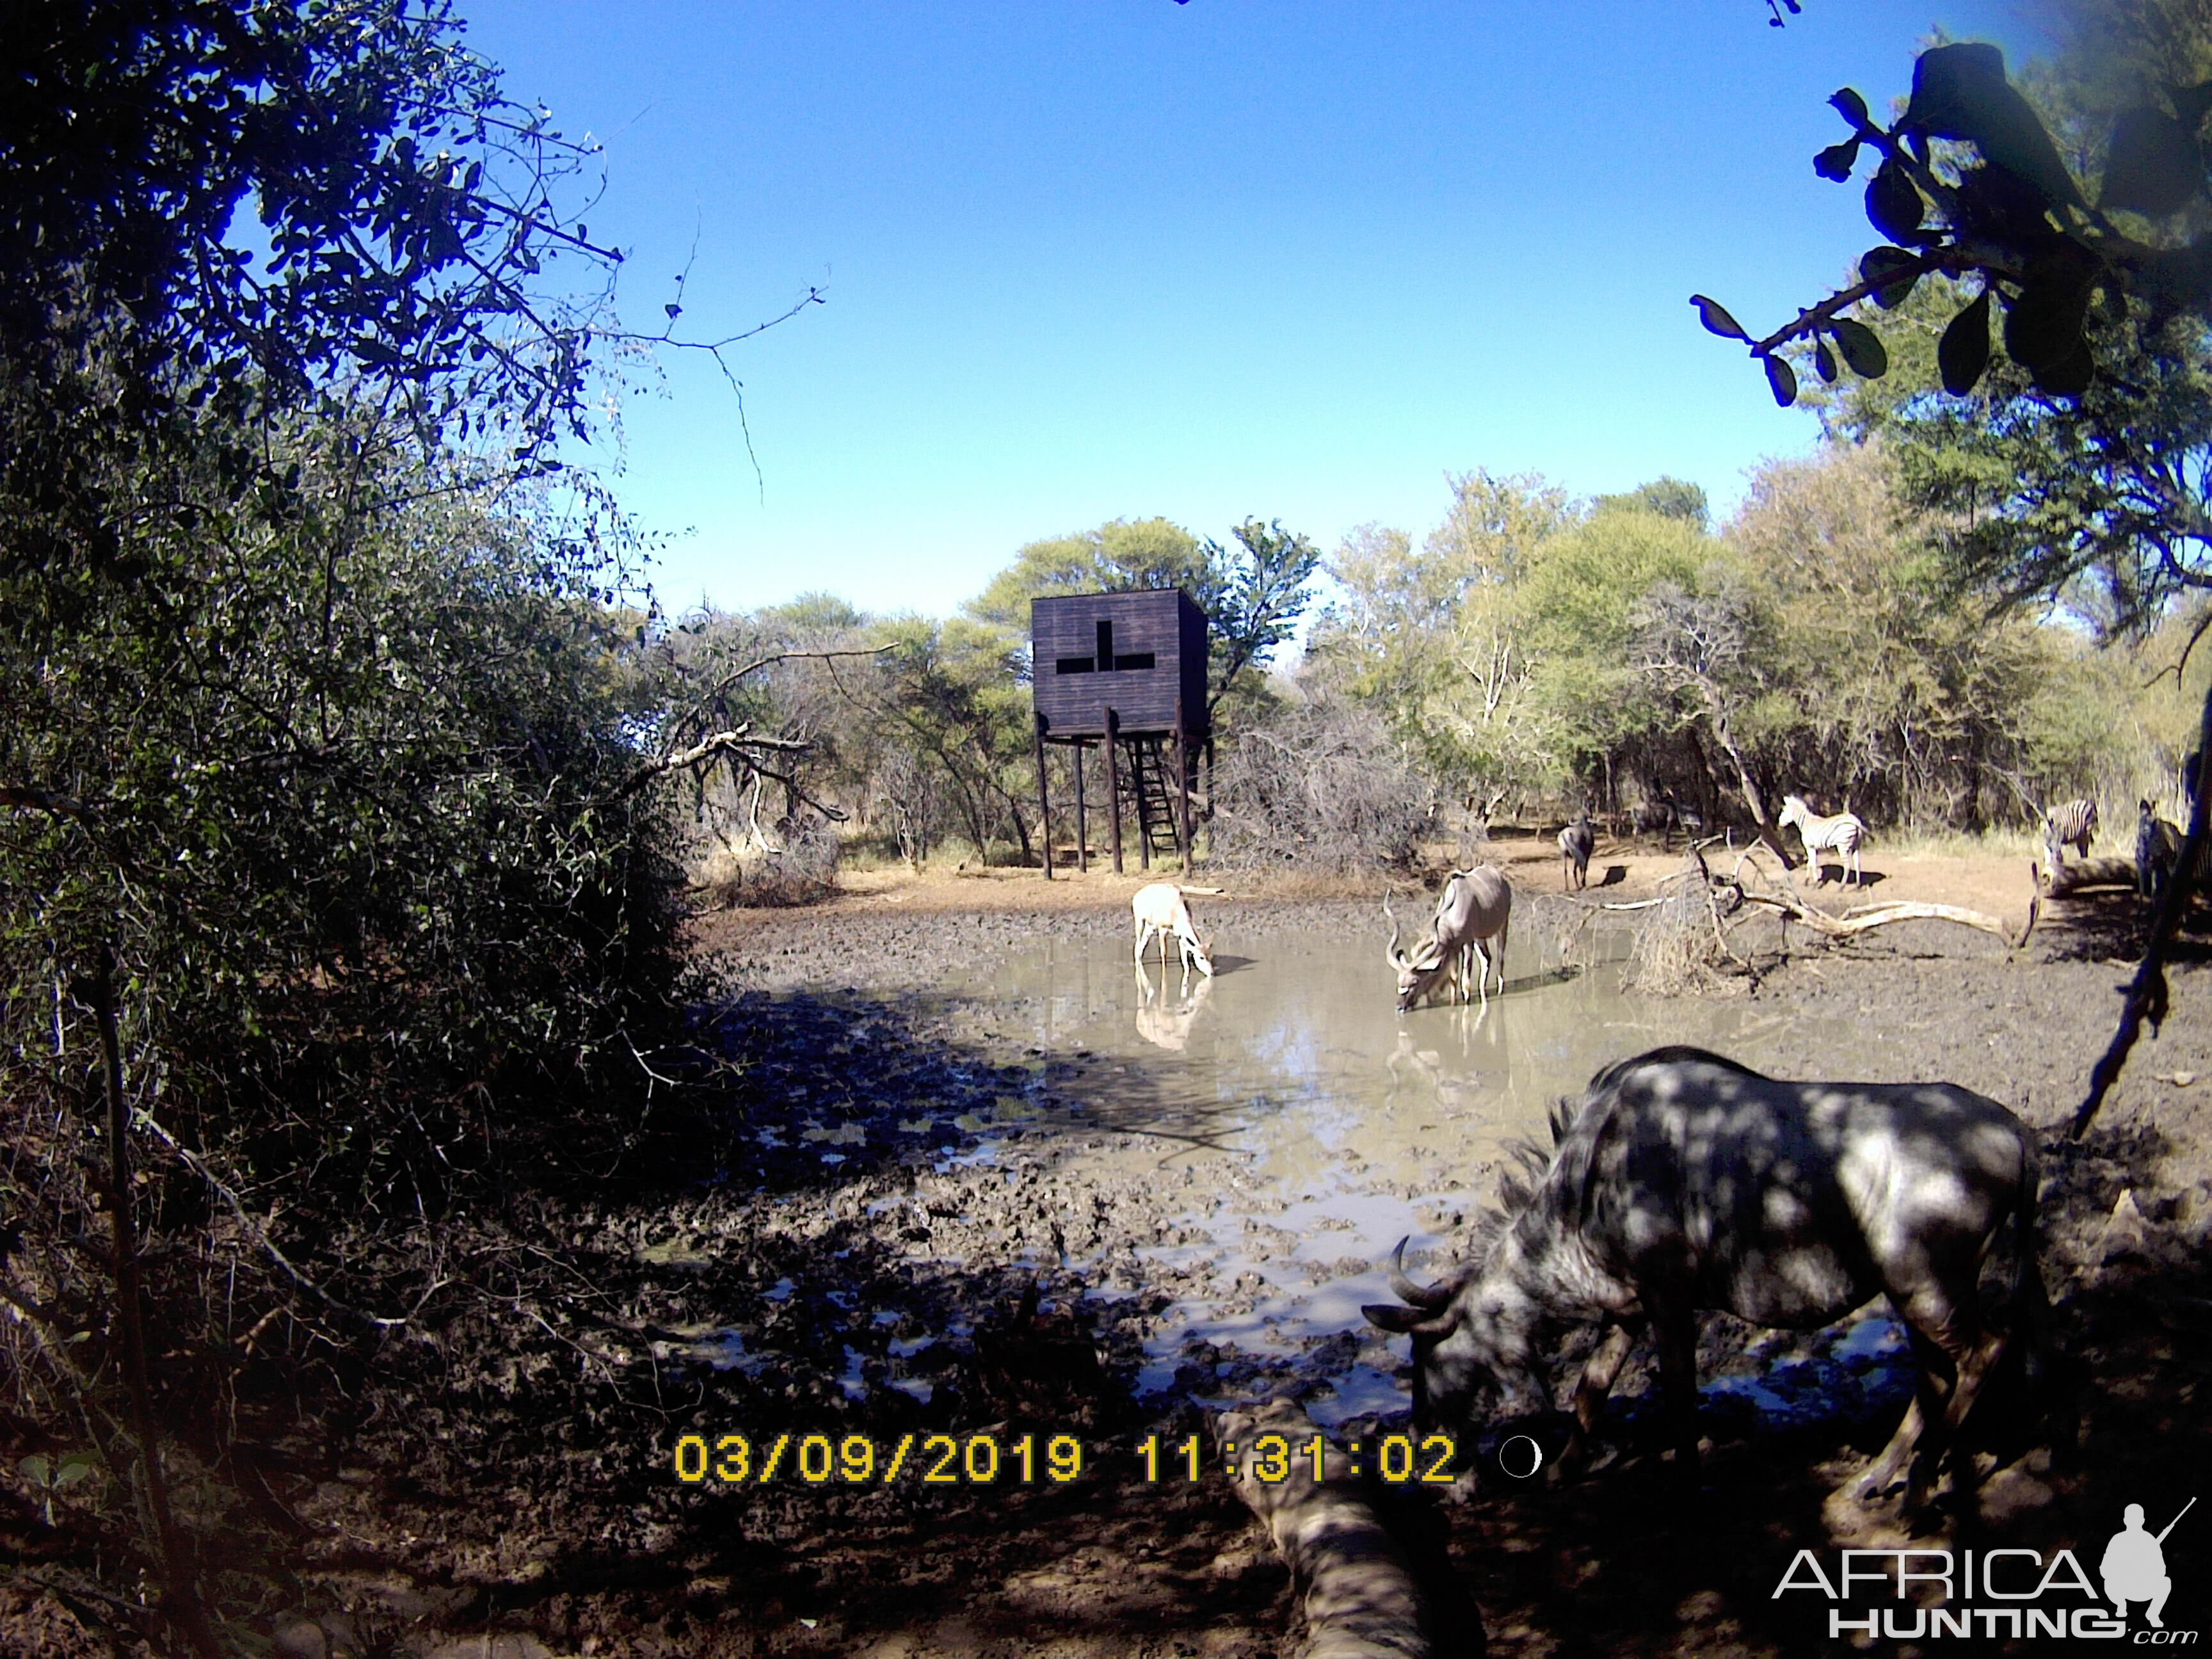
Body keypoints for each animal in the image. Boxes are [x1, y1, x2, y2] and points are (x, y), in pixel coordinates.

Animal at [1132, 889, 1221, 982]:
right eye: (1201, 957)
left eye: (1211, 957)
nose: (1212, 973)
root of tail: (1136, 895)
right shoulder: (1162, 929)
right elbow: (1163, 953)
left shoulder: (1181, 937)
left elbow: (1185, 960)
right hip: (1139, 921)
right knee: (1138, 944)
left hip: (1150, 926)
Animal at [1769, 801, 1858, 889]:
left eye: (1783, 811)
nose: (1779, 824)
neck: (1806, 823)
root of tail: (1854, 820)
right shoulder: (1813, 848)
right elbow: (1810, 863)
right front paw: (1806, 881)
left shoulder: (1809, 847)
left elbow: (1813, 864)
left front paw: (1815, 883)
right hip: (1856, 846)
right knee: (1857, 864)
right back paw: (1857, 886)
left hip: (1842, 846)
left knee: (1847, 866)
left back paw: (1841, 887)